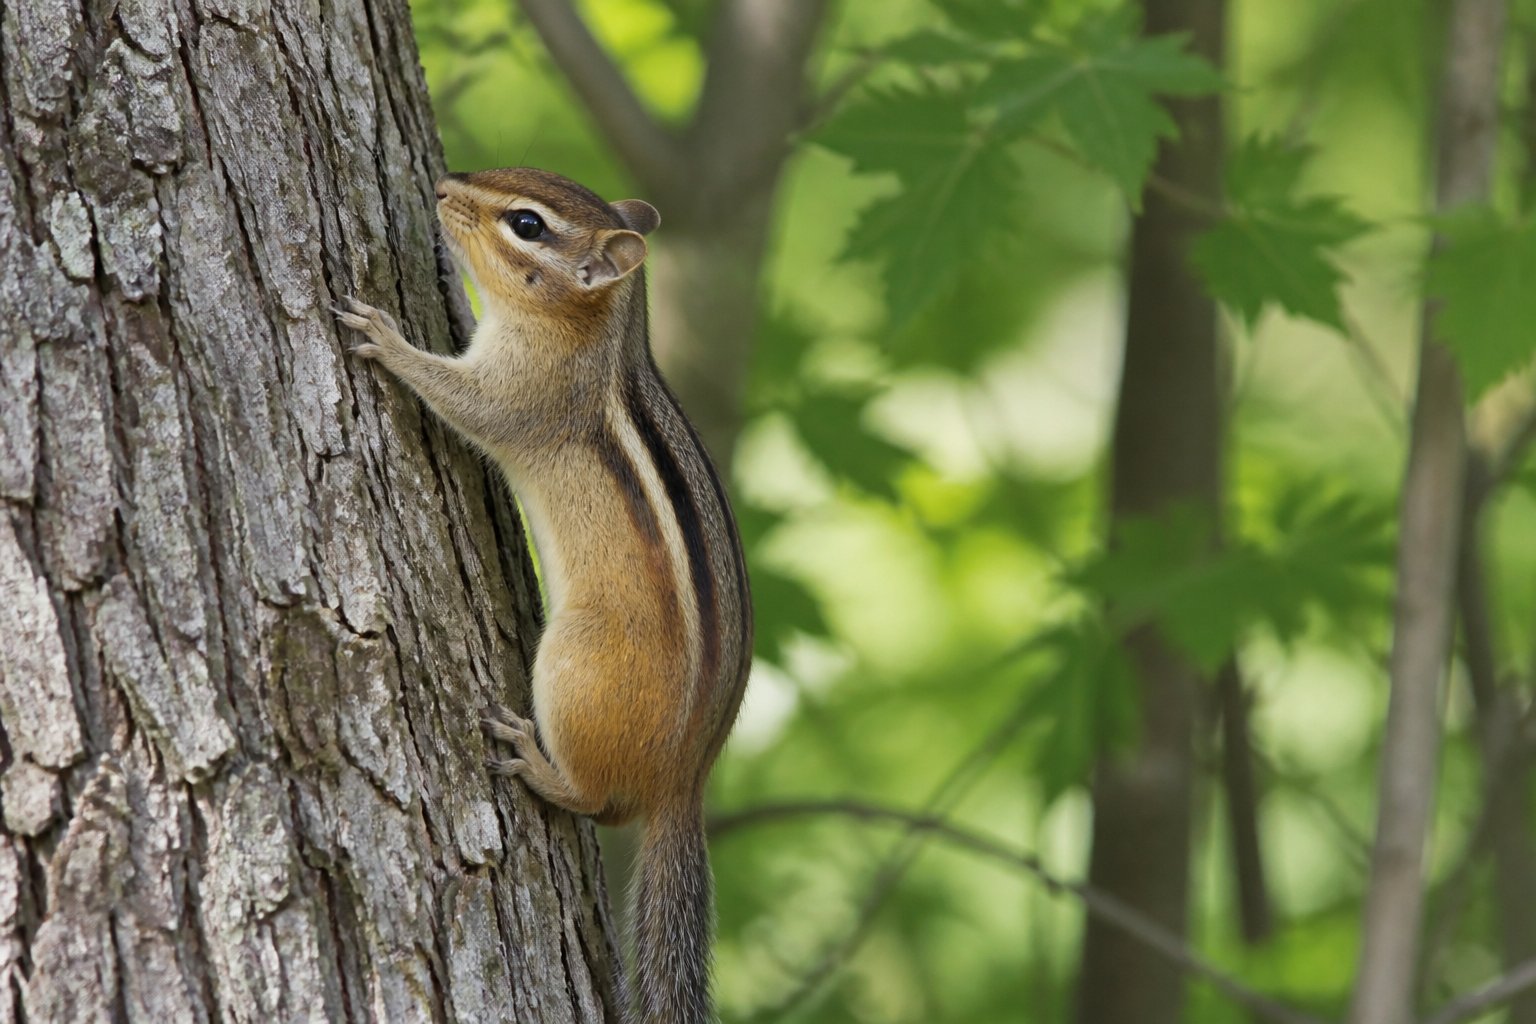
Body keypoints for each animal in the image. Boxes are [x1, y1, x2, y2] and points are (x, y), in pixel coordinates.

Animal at [335, 167, 752, 1024]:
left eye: (527, 224)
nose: (442, 185)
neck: (600, 334)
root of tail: (686, 779)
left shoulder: (526, 393)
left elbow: (465, 401)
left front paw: (388, 339)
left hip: (575, 663)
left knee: (601, 802)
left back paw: (536, 761)